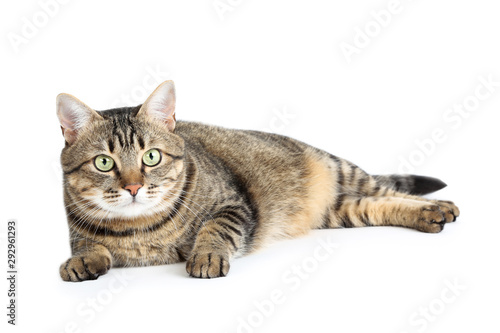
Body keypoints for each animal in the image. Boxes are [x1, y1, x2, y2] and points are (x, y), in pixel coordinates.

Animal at [56, 80, 458, 280]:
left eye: (151, 157)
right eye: (104, 163)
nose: (133, 187)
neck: (141, 228)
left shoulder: (235, 206)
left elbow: (215, 229)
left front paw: (206, 255)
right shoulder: (77, 231)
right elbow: (85, 245)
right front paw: (82, 261)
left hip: (344, 170)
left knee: (392, 190)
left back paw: (441, 206)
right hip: (341, 211)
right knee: (379, 204)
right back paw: (430, 216)